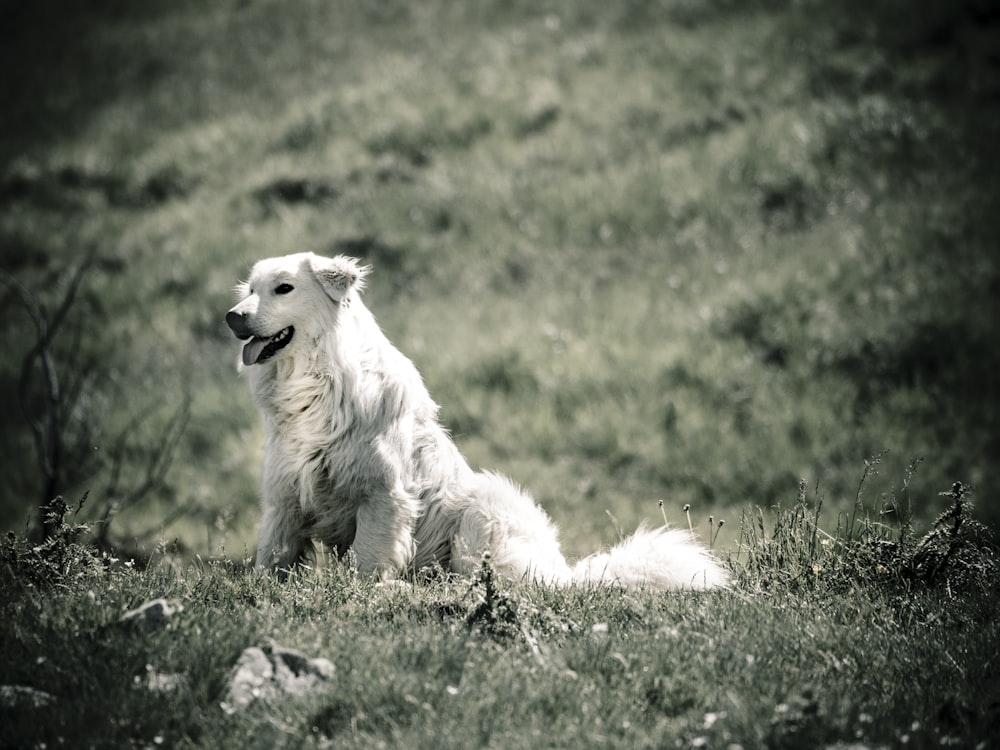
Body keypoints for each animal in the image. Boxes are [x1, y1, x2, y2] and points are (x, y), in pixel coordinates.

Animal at [225, 256, 728, 592]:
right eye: (249, 290)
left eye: (283, 289)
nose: (232, 317)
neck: (314, 383)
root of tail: (567, 573)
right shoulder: (285, 496)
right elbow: (274, 554)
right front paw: (263, 591)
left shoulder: (383, 495)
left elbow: (369, 560)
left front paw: (368, 591)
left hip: (481, 509)